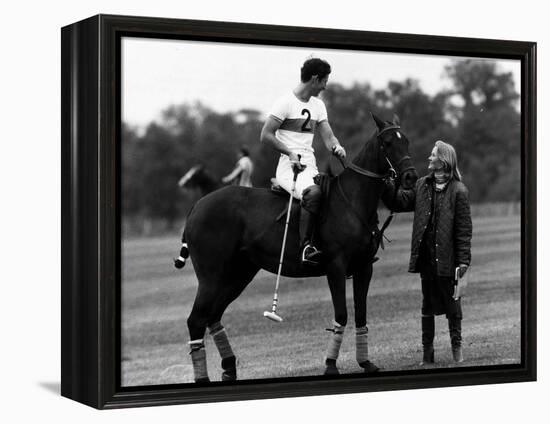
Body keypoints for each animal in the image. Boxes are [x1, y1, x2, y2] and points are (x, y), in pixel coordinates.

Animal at [177, 114, 418, 382]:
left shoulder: (364, 267)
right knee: (196, 319)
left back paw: (229, 369)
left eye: (406, 140)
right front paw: (330, 365)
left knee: (212, 316)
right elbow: (342, 314)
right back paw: (204, 378)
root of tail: (197, 206)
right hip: (211, 277)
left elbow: (361, 314)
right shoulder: (336, 266)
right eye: (387, 143)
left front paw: (366, 363)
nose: (410, 177)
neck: (353, 201)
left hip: (238, 275)